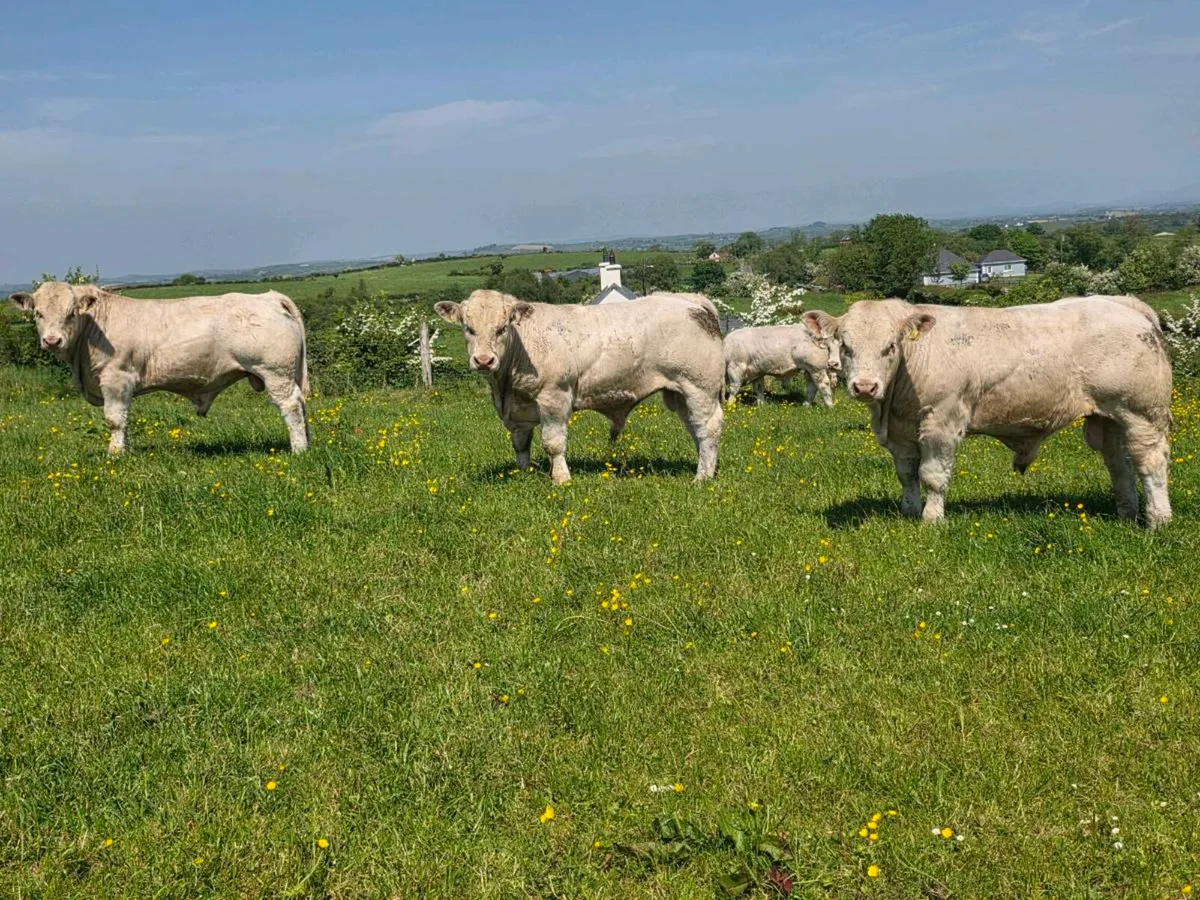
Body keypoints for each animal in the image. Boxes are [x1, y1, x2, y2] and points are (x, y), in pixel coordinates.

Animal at [9, 282, 311, 455]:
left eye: (71, 313)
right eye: (38, 313)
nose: (52, 340)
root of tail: (267, 297)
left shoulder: (116, 378)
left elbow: (114, 419)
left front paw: (115, 454)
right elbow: (125, 419)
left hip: (276, 373)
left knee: (291, 407)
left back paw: (299, 450)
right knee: (302, 404)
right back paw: (308, 442)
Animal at [434, 289, 724, 484]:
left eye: (502, 328)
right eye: (468, 328)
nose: (484, 360)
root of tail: (691, 300)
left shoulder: (554, 397)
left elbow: (553, 443)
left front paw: (561, 478)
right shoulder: (519, 408)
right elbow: (520, 443)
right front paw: (523, 474)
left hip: (699, 387)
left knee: (708, 427)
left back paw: (702, 477)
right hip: (679, 394)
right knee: (696, 429)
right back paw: (707, 467)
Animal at [804, 296, 1172, 528]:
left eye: (889, 346)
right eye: (844, 346)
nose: (865, 387)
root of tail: (1124, 304)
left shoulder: (942, 423)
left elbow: (932, 475)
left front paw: (931, 520)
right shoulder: (901, 431)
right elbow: (907, 475)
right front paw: (909, 511)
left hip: (1142, 413)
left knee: (1151, 463)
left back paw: (1158, 520)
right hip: (1109, 418)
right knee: (1119, 465)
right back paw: (1126, 514)